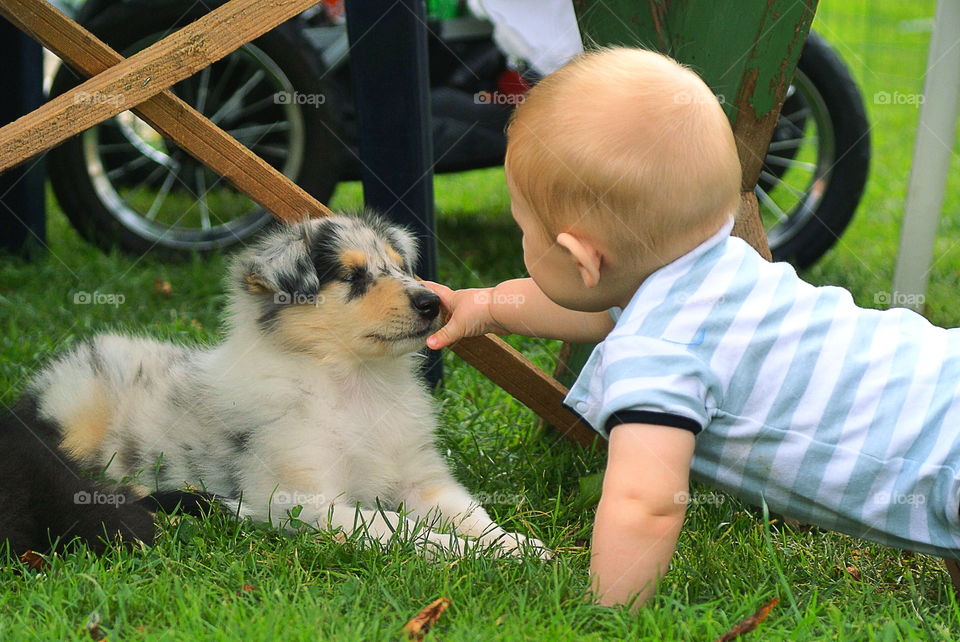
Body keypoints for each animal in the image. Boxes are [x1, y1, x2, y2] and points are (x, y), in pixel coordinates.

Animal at [24, 212, 548, 556]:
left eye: (402, 267)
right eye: (352, 276)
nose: (431, 302)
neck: (356, 383)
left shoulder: (423, 478)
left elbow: (474, 516)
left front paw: (522, 547)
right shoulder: (308, 500)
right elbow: (400, 526)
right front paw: (469, 554)